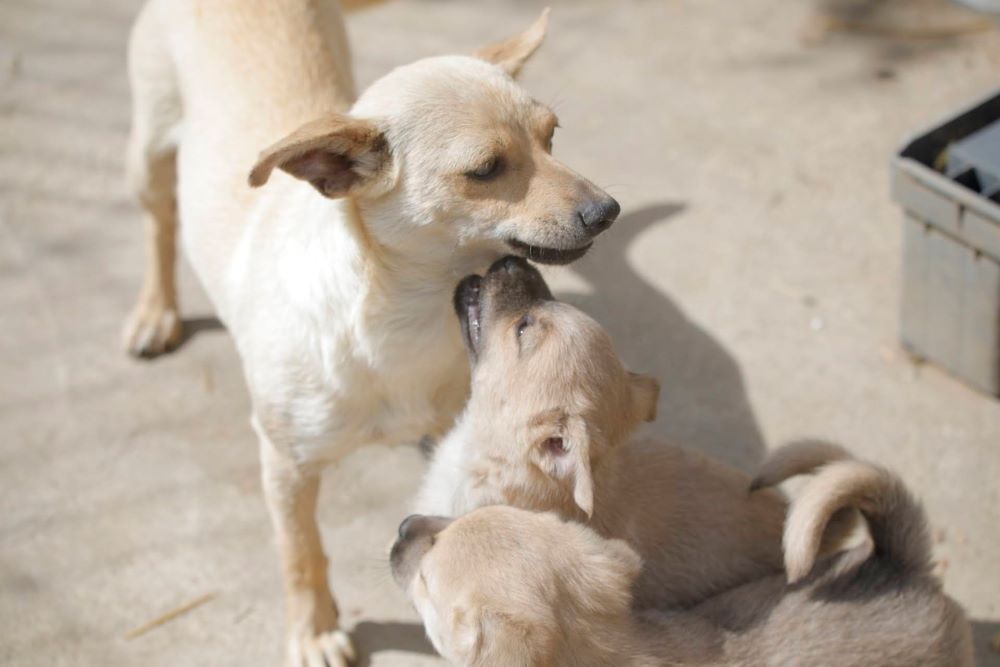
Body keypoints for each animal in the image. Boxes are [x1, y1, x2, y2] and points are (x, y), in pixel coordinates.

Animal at [122, 3, 620, 664]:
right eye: (485, 170)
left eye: (553, 136)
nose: (606, 210)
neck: (404, 320)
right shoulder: (285, 465)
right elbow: (301, 553)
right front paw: (313, 630)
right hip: (150, 150)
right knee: (159, 221)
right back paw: (155, 310)